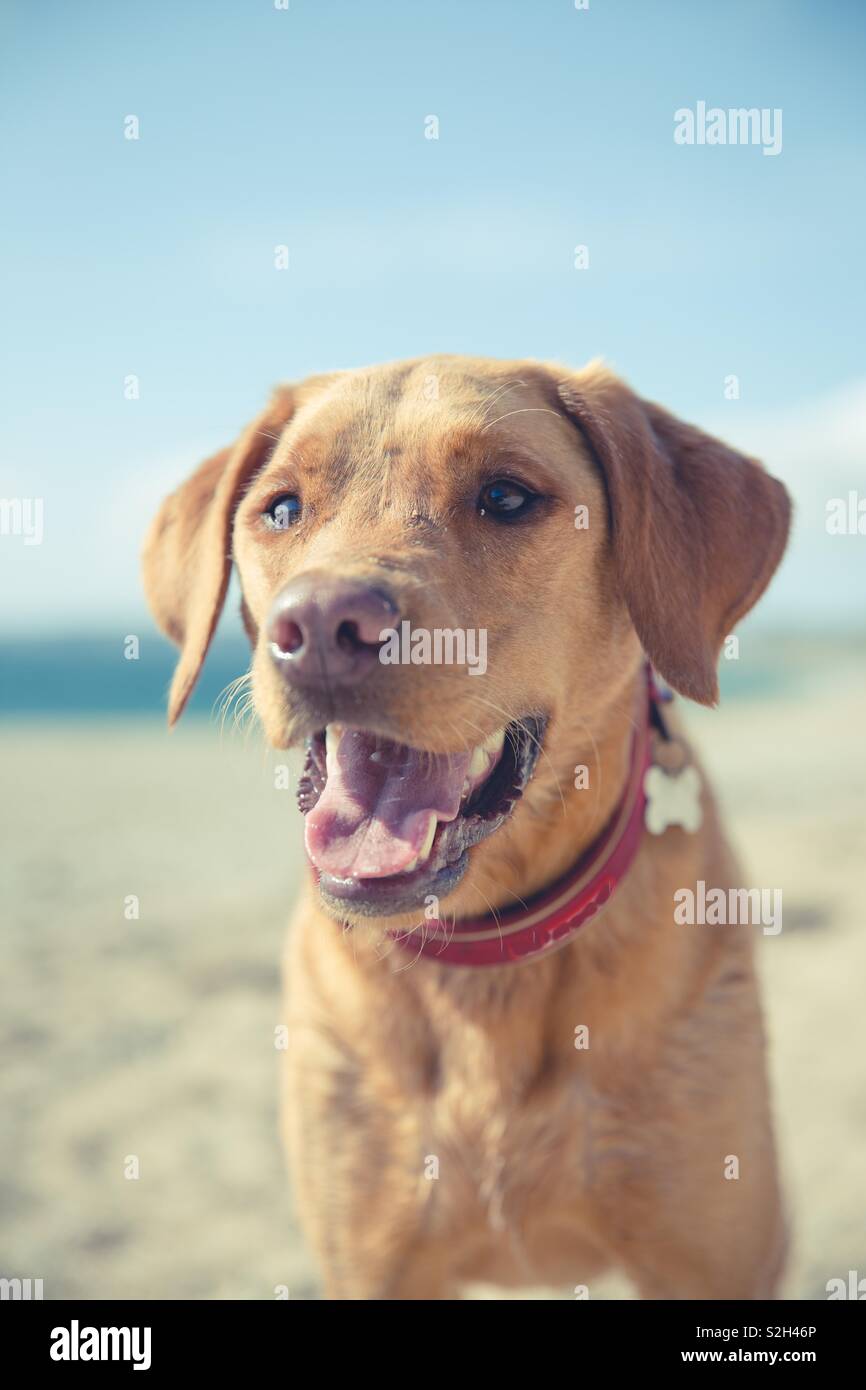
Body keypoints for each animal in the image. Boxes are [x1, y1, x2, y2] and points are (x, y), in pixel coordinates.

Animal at [142, 355, 795, 1301]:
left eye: (506, 496)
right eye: (283, 508)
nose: (322, 627)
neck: (486, 956)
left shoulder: (717, 1260)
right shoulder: (373, 1265)